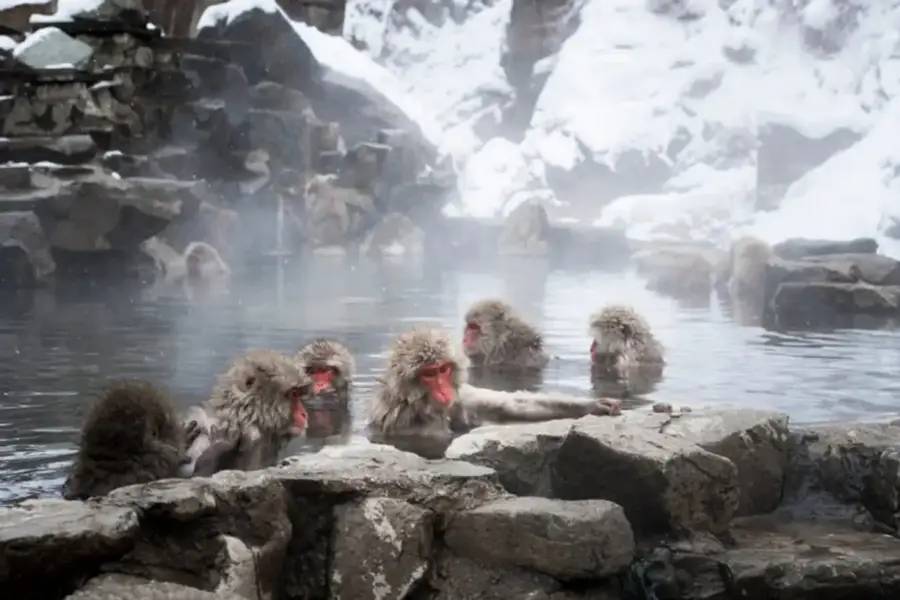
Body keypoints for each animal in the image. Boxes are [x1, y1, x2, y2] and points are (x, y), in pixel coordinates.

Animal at [368, 328, 620, 453]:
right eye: (429, 374)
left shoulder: (461, 397)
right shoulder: (410, 423)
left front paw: (592, 405)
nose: (444, 390)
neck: (421, 404)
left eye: (443, 369)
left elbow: (508, 405)